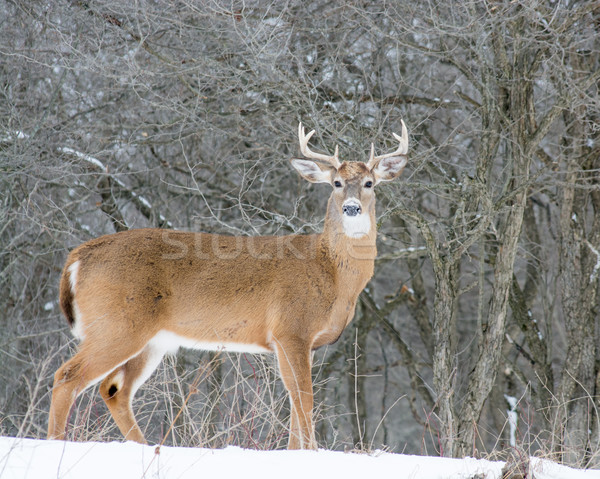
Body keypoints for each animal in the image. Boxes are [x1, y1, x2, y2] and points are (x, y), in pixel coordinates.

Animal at [49, 121, 410, 450]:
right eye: (336, 183)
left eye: (369, 183)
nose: (352, 207)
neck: (332, 275)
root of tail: (77, 256)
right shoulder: (290, 329)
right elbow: (304, 400)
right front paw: (310, 454)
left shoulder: (295, 342)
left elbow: (295, 403)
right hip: (116, 323)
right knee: (68, 376)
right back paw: (57, 443)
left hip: (151, 339)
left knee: (114, 389)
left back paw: (146, 447)